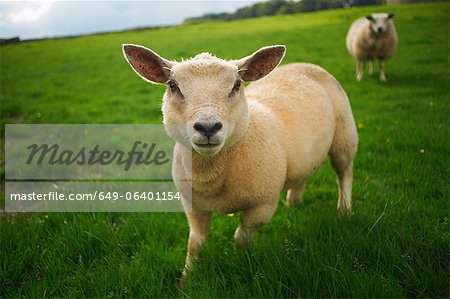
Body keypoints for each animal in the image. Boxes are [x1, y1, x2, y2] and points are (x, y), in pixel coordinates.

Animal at [122, 44, 358, 282]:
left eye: (236, 85)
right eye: (173, 86)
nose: (208, 128)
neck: (211, 177)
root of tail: (305, 65)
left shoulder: (263, 206)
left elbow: (241, 237)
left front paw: (242, 263)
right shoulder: (192, 205)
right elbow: (195, 244)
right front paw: (186, 279)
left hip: (344, 137)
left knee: (344, 173)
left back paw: (344, 210)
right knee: (303, 173)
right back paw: (294, 202)